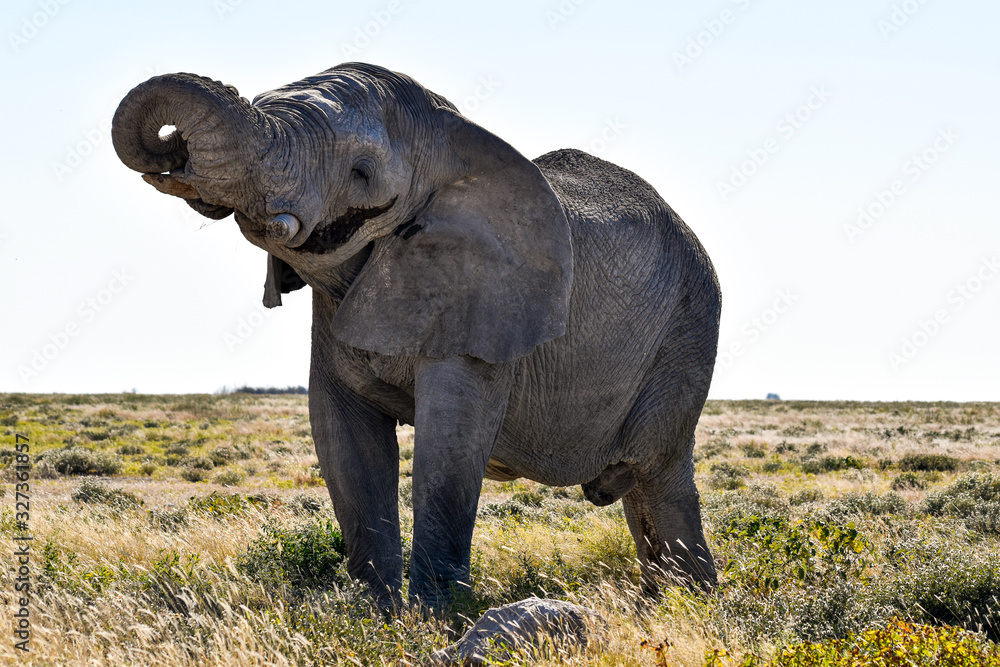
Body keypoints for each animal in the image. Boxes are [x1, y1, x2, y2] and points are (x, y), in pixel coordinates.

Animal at [112, 62, 722, 610]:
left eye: (361, 173)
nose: (172, 151)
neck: (452, 137)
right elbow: (344, 437)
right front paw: (372, 618)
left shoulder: (483, 295)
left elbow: (450, 442)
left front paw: (438, 620)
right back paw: (673, 605)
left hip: (686, 333)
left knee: (656, 473)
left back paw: (691, 608)